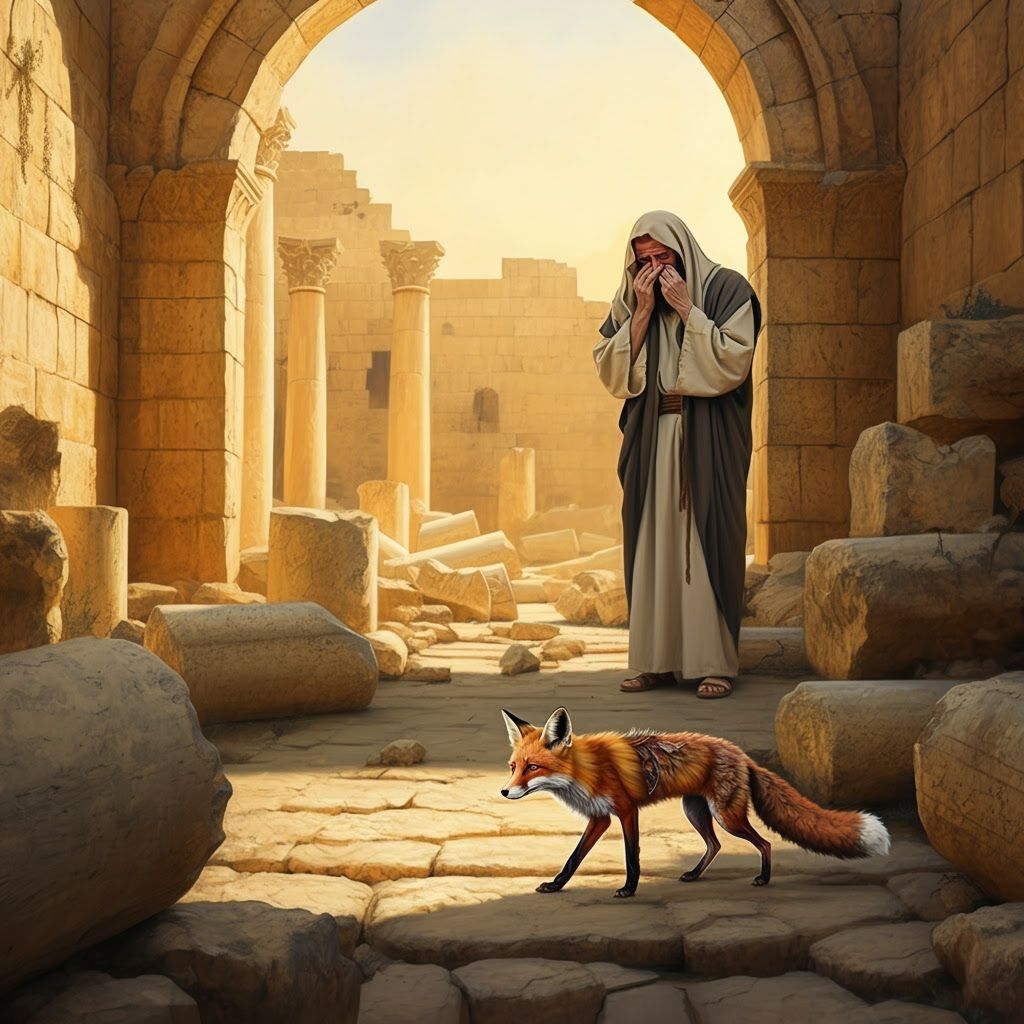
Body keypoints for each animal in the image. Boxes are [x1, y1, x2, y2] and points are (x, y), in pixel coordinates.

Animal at [500, 706, 891, 899]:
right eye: (513, 767)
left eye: (533, 768)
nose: (504, 792)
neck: (585, 769)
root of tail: (742, 754)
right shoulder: (600, 818)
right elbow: (574, 858)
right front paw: (555, 885)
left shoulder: (625, 810)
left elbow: (631, 855)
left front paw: (629, 889)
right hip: (697, 811)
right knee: (715, 845)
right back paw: (693, 874)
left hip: (726, 815)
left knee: (763, 842)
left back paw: (763, 879)